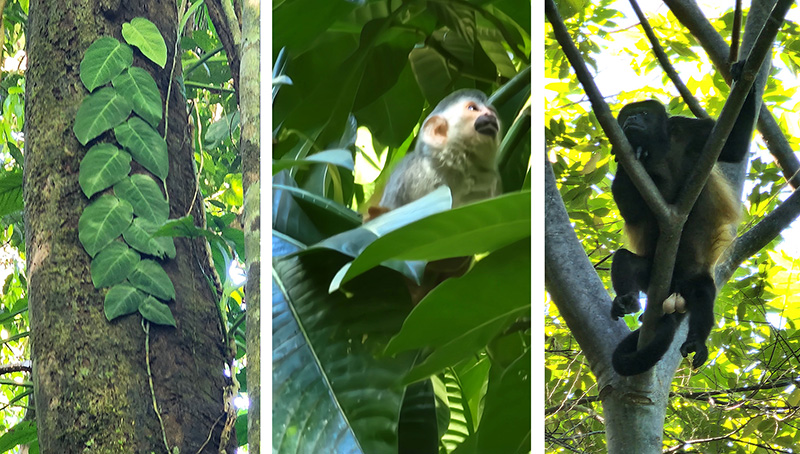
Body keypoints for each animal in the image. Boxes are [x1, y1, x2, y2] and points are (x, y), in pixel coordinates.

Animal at [612, 70, 756, 376]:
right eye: (628, 115)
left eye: (643, 113)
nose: (632, 119)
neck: (657, 148)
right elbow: (632, 213)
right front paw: (623, 157)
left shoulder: (690, 130)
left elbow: (734, 148)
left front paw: (743, 75)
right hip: (652, 275)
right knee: (624, 260)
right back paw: (626, 300)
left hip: (693, 276)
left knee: (702, 293)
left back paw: (695, 342)